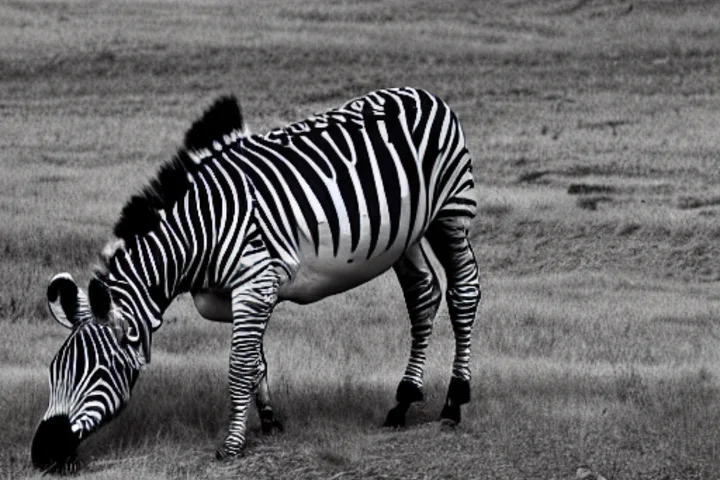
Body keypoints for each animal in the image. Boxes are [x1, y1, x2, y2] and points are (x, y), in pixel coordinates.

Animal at [31, 87, 480, 471]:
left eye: (100, 371)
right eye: (54, 370)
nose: (42, 454)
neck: (196, 233)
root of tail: (425, 93)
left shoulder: (255, 280)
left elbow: (238, 365)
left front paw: (232, 445)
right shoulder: (235, 295)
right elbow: (255, 361)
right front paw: (268, 421)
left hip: (450, 213)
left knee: (464, 292)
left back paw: (454, 403)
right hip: (406, 236)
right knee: (423, 296)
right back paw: (403, 402)